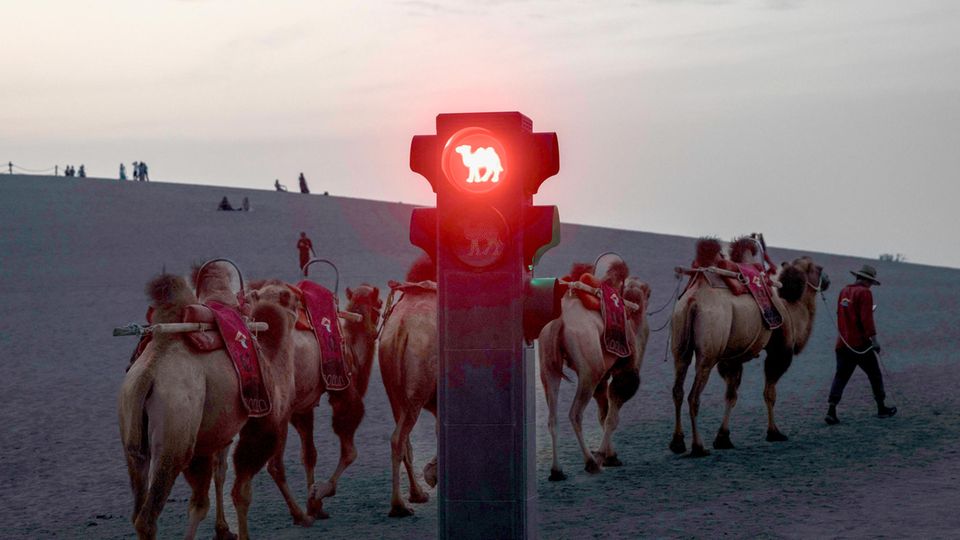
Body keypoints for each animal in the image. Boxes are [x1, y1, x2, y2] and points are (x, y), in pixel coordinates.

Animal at [118, 264, 296, 540]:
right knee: (147, 517)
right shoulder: (259, 421)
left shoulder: (219, 429)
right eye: (289, 298)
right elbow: (236, 488)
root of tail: (148, 375)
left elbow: (218, 474)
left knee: (137, 506)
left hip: (133, 437)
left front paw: (223, 529)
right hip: (176, 433)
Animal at [244, 280, 382, 520]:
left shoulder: (302, 408)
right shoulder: (343, 391)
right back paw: (298, 514)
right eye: (380, 304)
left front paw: (314, 503)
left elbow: (309, 454)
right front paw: (321, 493)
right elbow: (350, 452)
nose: (374, 331)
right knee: (274, 465)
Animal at [540, 262, 652, 480]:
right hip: (590, 367)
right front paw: (604, 456)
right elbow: (611, 417)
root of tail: (559, 320)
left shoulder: (603, 379)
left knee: (552, 417)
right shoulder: (626, 371)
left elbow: (603, 413)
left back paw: (557, 471)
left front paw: (611, 455)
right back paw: (591, 462)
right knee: (575, 414)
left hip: (548, 363)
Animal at [672, 240, 828, 456]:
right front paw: (774, 432)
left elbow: (731, 396)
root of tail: (694, 300)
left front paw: (723, 438)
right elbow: (769, 393)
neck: (791, 311)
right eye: (819, 268)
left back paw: (677, 443)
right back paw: (698, 447)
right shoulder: (779, 351)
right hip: (708, 350)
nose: (828, 281)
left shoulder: (732, 358)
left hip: (680, 341)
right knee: (693, 395)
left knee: (677, 388)